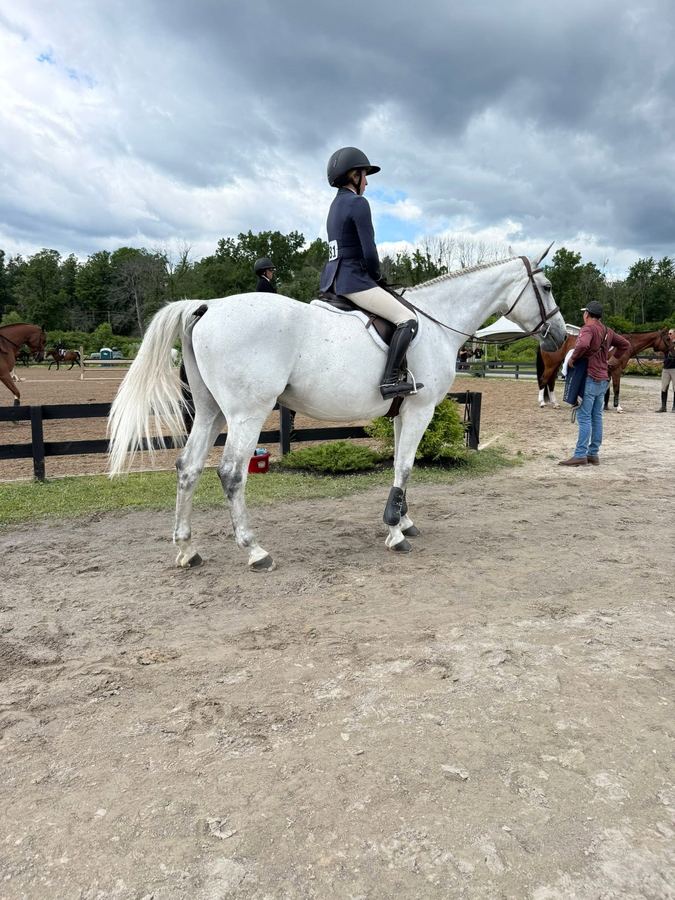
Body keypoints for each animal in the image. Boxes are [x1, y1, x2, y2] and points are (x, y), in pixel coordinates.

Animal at [108, 252, 566, 571]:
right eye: (545, 286)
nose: (559, 336)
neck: (437, 323)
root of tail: (209, 306)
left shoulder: (402, 412)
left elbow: (400, 466)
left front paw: (403, 521)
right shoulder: (419, 410)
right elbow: (405, 466)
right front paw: (395, 532)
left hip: (210, 412)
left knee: (188, 468)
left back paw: (187, 550)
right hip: (246, 413)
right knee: (231, 473)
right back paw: (255, 551)